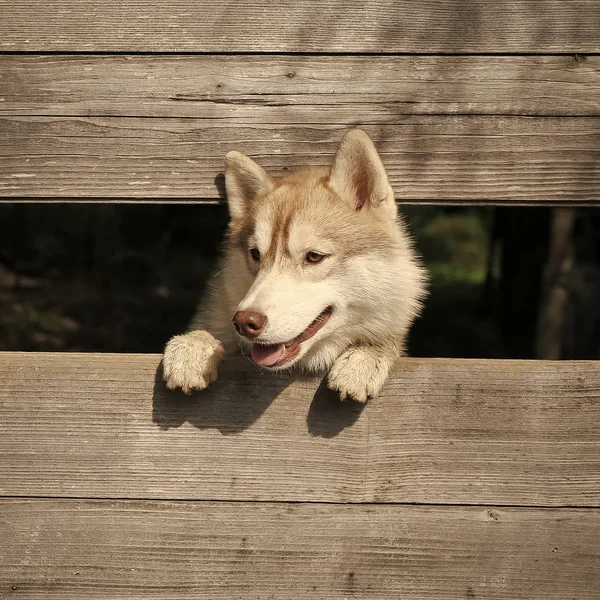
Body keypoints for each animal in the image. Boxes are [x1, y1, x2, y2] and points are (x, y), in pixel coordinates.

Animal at [162, 129, 428, 400]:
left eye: (314, 256)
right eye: (255, 254)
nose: (245, 322)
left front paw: (364, 357)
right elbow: (204, 332)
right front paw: (193, 346)